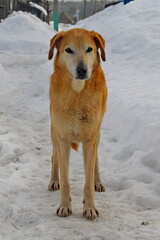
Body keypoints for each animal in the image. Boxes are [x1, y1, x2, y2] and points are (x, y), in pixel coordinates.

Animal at [47, 28, 107, 219]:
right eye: (69, 50)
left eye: (89, 49)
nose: (82, 70)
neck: (77, 95)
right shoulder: (63, 139)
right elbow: (65, 180)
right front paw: (65, 206)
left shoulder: (90, 139)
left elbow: (88, 180)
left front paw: (89, 207)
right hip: (54, 132)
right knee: (54, 157)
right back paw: (53, 180)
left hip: (98, 134)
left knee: (96, 159)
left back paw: (98, 181)